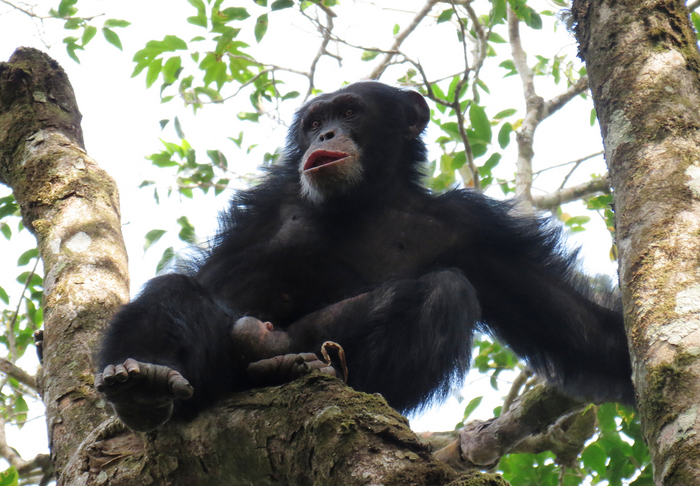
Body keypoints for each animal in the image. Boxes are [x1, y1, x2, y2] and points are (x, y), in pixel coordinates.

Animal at [94, 81, 636, 430]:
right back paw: (145, 384)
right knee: (180, 294)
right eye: (315, 121)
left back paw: (282, 359)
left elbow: (584, 329)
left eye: (351, 112)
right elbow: (218, 286)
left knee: (445, 292)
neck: (365, 201)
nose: (325, 135)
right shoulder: (268, 206)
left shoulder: (477, 231)